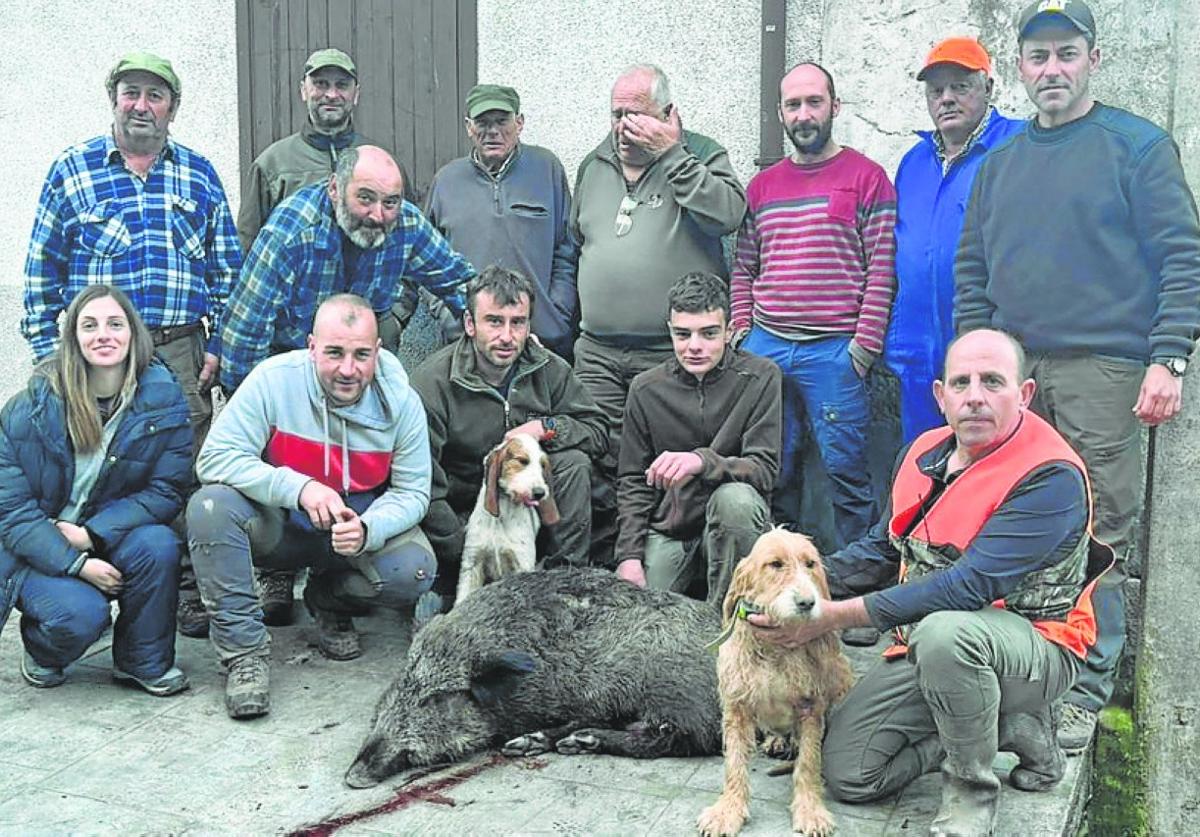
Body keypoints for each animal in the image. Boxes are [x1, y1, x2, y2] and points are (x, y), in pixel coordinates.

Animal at [700, 527, 859, 834]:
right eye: (775, 564)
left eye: (810, 564)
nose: (807, 603)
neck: (774, 650)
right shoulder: (736, 707)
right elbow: (734, 763)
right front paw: (728, 810)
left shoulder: (810, 707)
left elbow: (808, 762)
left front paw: (810, 810)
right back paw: (776, 740)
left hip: (842, 673)